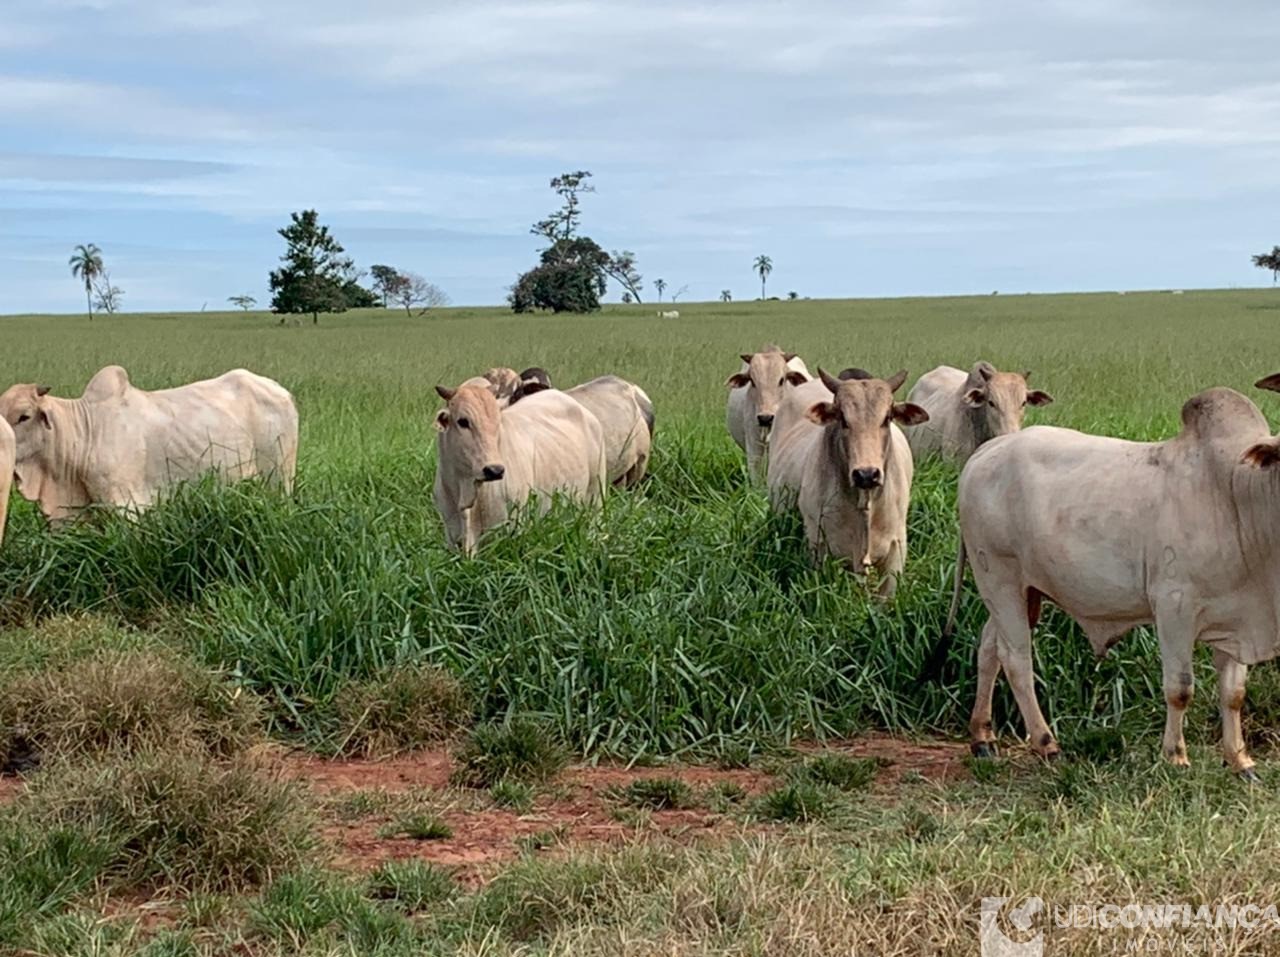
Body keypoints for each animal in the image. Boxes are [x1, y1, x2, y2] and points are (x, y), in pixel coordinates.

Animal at [432, 381, 606, 552]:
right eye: (463, 421)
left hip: (596, 496)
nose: (495, 470)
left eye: (498, 421)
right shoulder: (452, 537)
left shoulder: (513, 529)